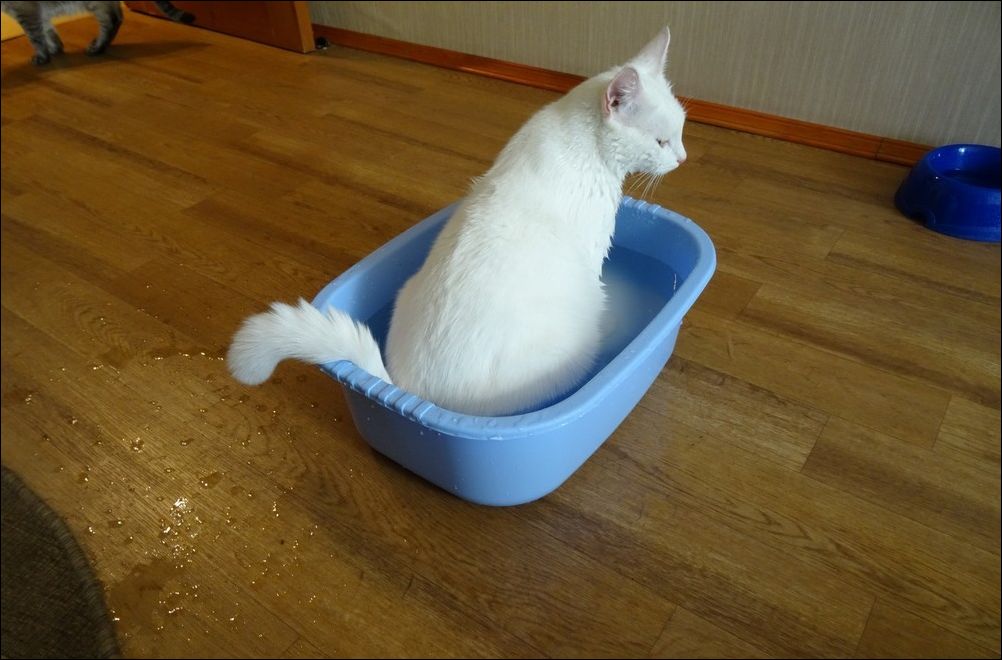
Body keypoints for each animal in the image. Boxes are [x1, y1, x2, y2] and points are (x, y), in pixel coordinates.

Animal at [0, 0, 195, 65]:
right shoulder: (39, 14)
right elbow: (48, 31)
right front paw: (55, 48)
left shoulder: (27, 12)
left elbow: (36, 37)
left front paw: (42, 56)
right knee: (118, 17)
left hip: (95, 3)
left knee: (111, 20)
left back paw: (99, 47)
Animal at [227, 27, 688, 417]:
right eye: (661, 141)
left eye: (681, 131)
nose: (682, 158)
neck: (583, 142)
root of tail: (410, 393)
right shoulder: (594, 251)